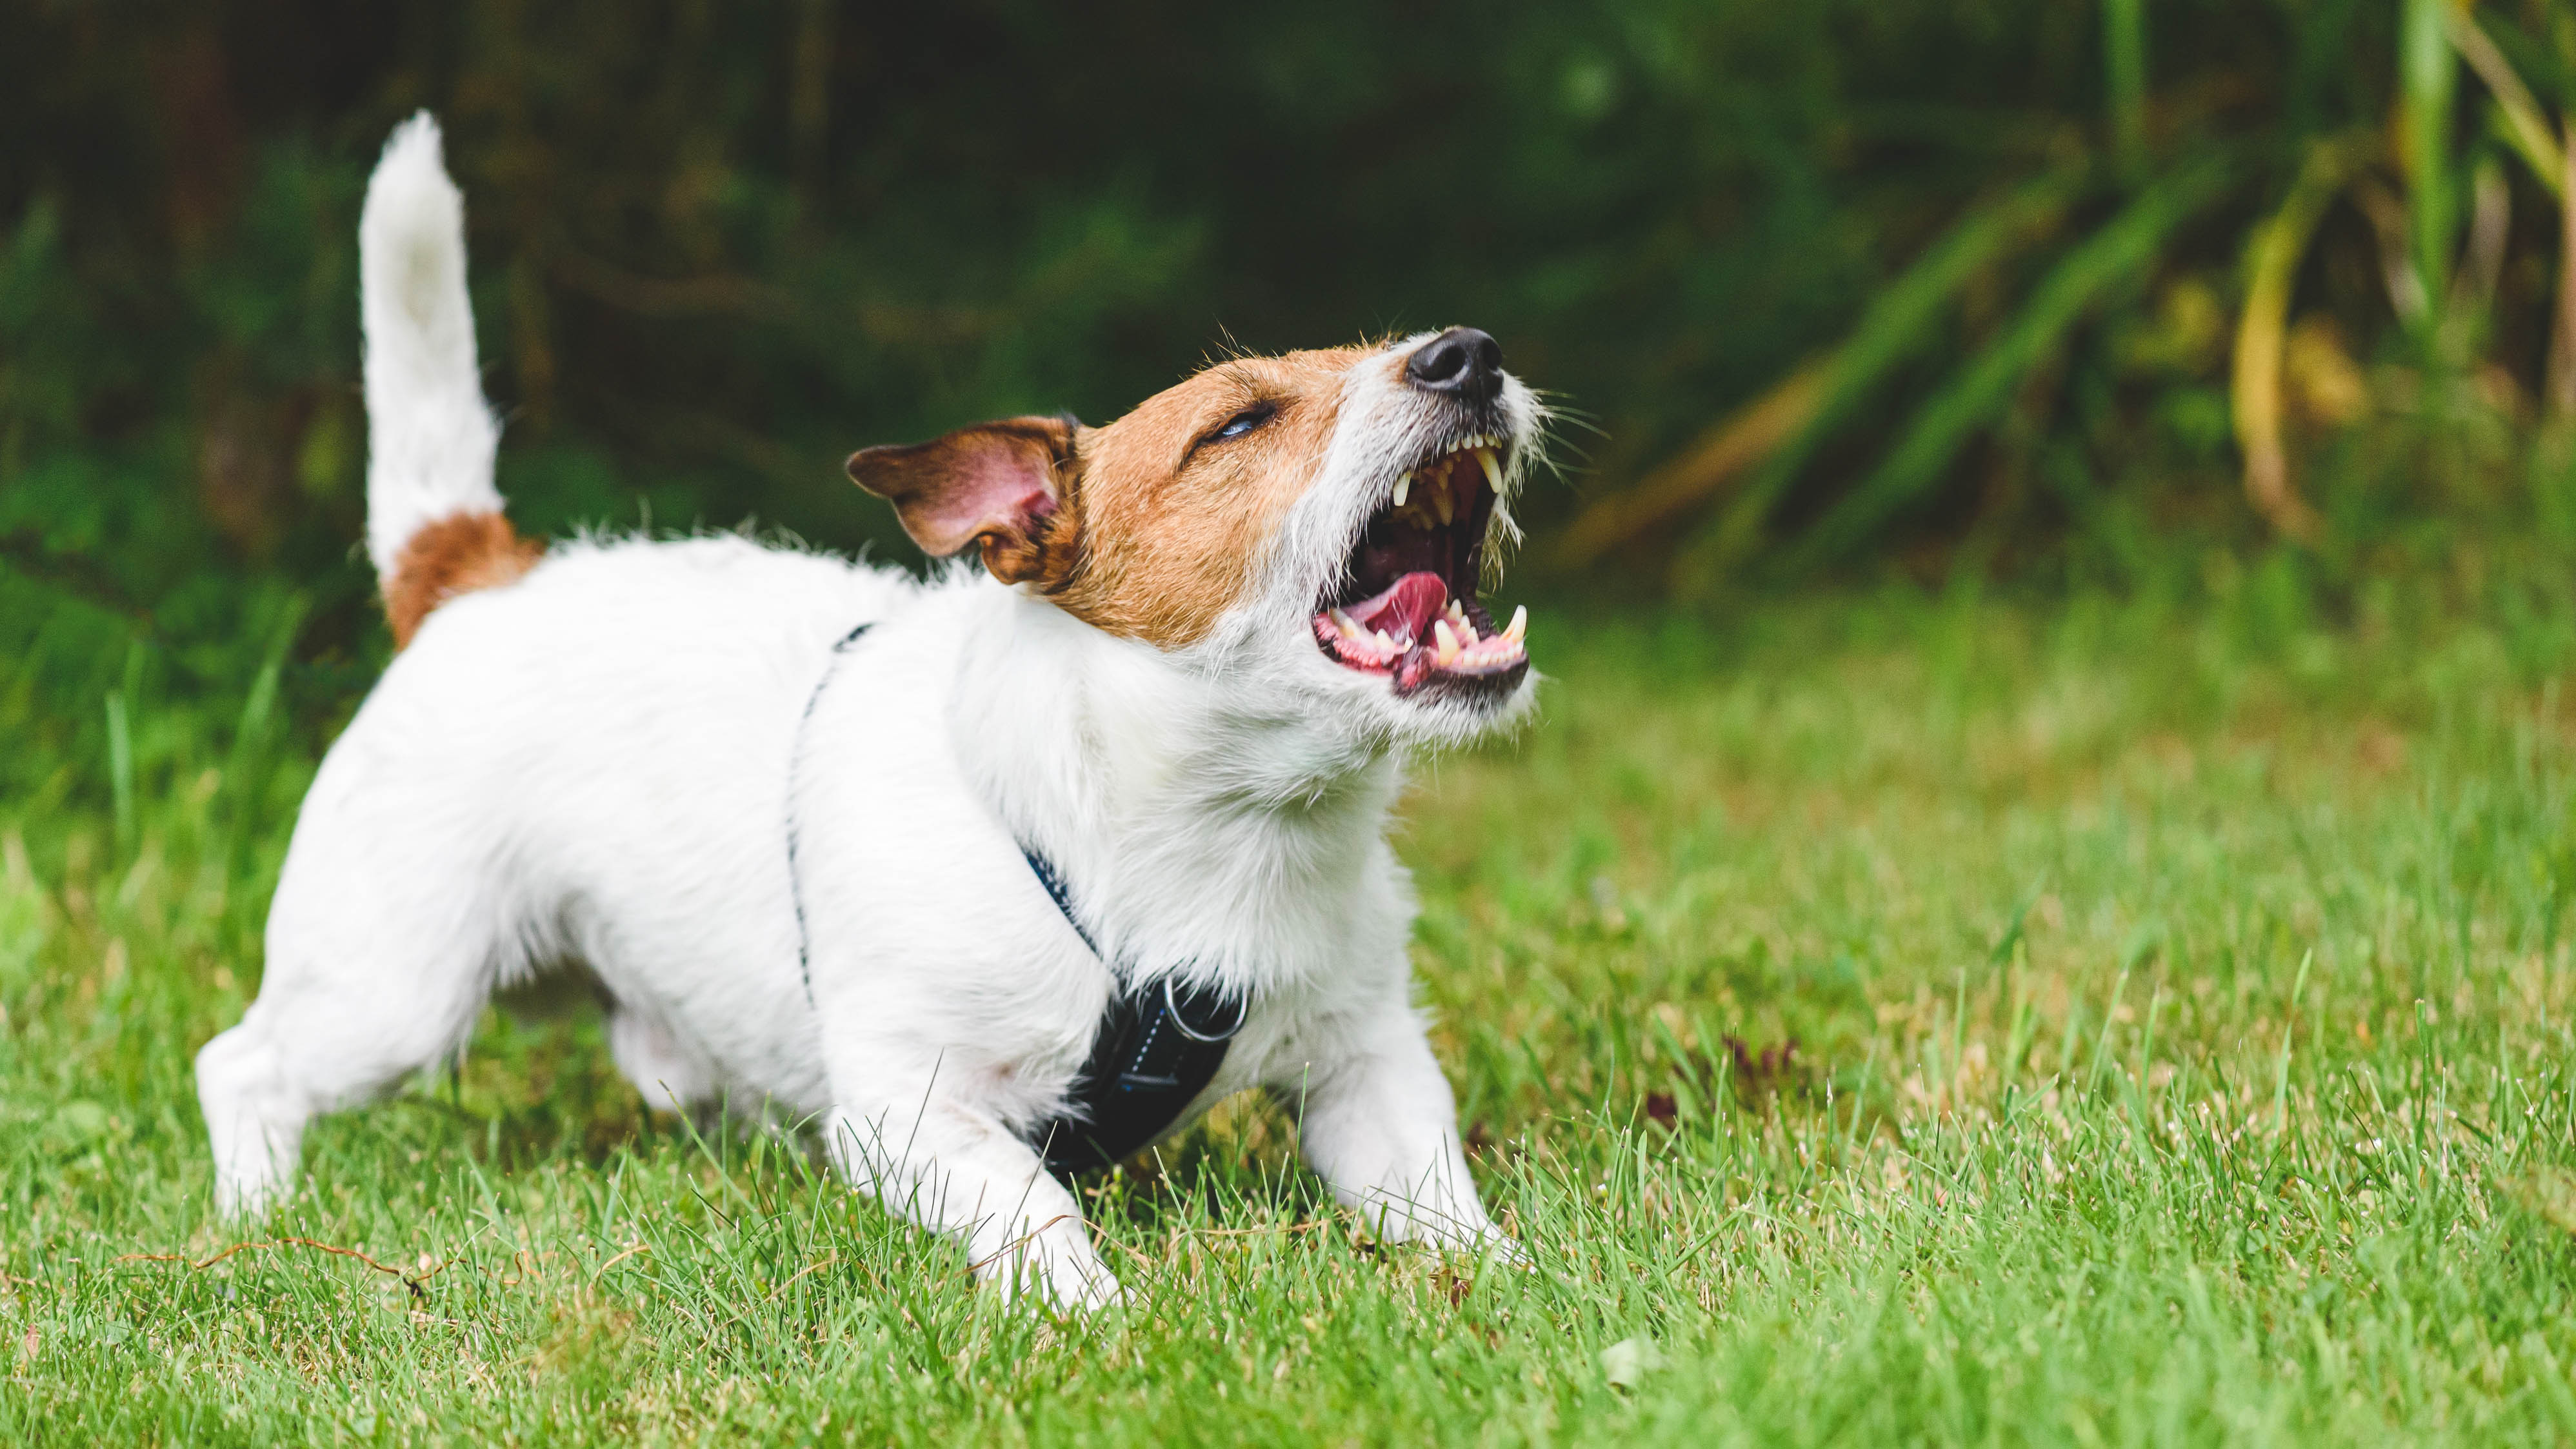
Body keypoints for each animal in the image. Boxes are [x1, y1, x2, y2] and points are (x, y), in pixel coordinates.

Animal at [195, 115, 1545, 1310]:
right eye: (1238, 423)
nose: (1468, 353)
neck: (1208, 833)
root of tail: (477, 572)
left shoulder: (1368, 1064)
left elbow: (1434, 1194)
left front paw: (1512, 1285)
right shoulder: (911, 1106)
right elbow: (1028, 1196)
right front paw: (1089, 1309)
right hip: (395, 991)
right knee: (241, 1065)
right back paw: (261, 1217)